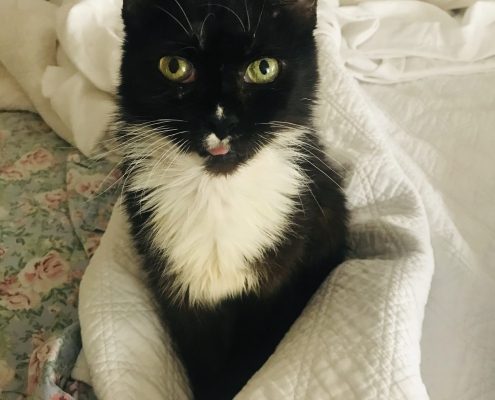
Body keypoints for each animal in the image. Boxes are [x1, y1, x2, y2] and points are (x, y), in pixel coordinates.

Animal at [116, 1, 348, 398]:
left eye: (264, 68)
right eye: (174, 67)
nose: (221, 123)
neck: (217, 193)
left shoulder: (274, 283)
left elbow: (252, 354)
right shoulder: (180, 287)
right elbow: (203, 358)